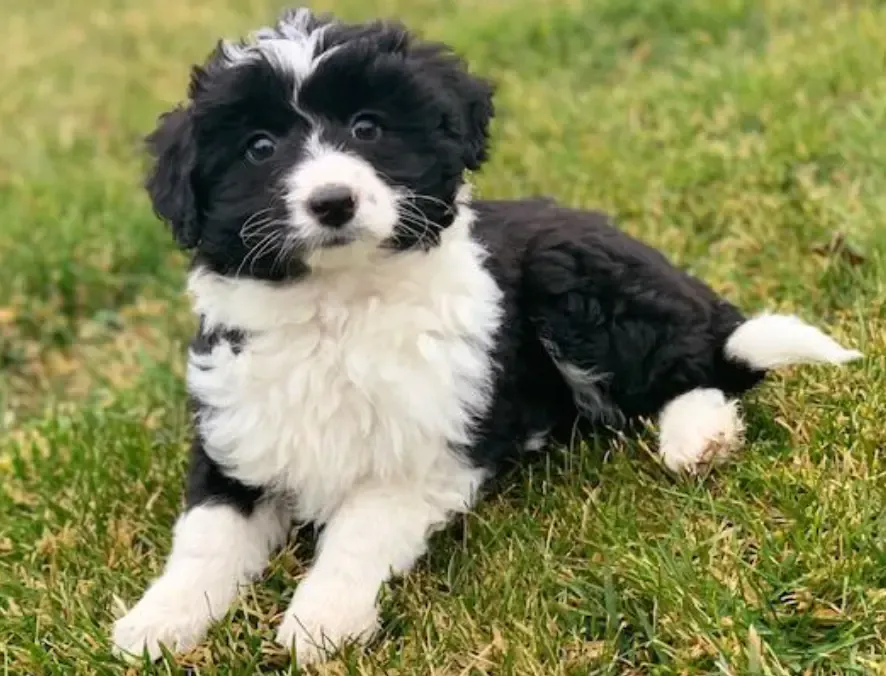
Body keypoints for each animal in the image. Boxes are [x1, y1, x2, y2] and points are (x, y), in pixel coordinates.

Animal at [112, 6, 868, 664]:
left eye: (368, 128)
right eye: (260, 148)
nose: (333, 202)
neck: (339, 307)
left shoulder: (426, 454)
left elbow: (358, 530)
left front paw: (320, 619)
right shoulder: (237, 438)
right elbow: (204, 539)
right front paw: (156, 624)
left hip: (574, 277)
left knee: (697, 365)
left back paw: (696, 438)